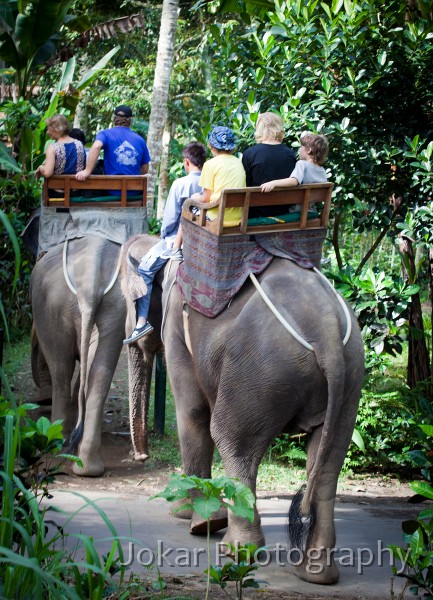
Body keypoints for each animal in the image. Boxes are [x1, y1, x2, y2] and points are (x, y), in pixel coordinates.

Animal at [30, 234, 126, 474]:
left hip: (51, 305)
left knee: (61, 370)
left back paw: (56, 441)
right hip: (115, 305)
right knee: (100, 371)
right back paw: (88, 469)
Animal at [159, 255, 364, 584]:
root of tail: (328, 334)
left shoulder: (178, 323)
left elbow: (192, 412)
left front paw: (187, 517)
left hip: (257, 372)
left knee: (231, 440)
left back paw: (236, 550)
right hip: (350, 378)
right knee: (329, 460)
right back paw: (317, 575)